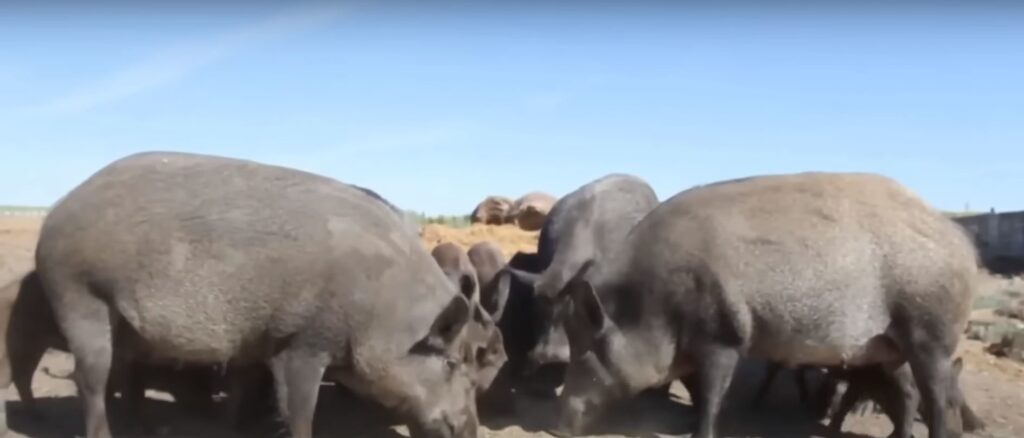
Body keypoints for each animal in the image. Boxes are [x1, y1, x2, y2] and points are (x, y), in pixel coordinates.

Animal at [35, 151, 493, 438]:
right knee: (91, 379)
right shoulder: (302, 342)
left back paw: (151, 430)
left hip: (126, 323)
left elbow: (245, 389)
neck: (379, 307)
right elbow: (298, 410)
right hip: (78, 295)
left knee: (129, 373)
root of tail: (57, 212)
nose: (471, 430)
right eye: (451, 363)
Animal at [552, 172, 978, 438]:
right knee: (907, 394)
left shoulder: (723, 336)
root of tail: (964, 246)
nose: (559, 425)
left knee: (936, 399)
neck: (653, 303)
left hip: (930, 335)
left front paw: (699, 431)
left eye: (588, 349)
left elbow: (711, 397)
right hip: (889, 350)